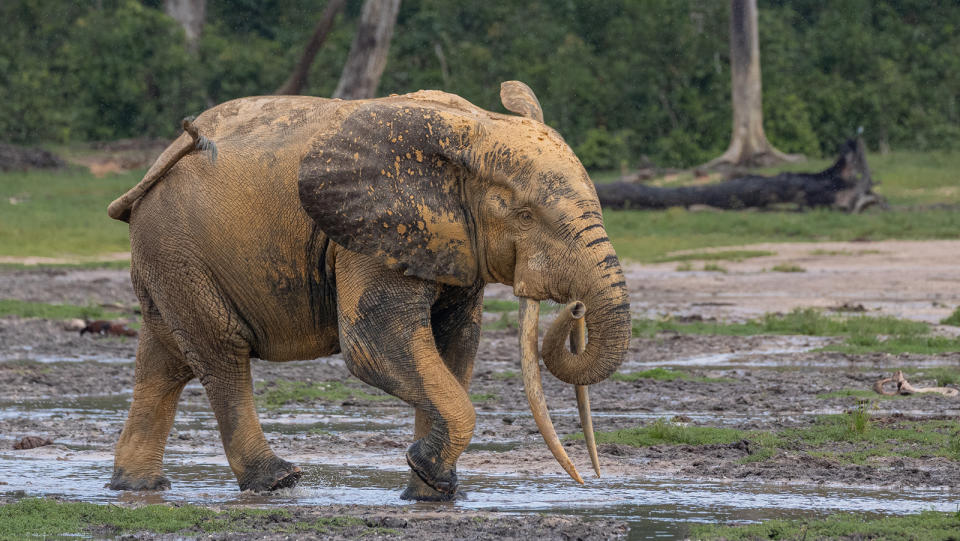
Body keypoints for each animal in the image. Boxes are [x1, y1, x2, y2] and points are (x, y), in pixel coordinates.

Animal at [107, 80, 632, 498]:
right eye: (524, 215)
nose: (575, 308)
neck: (476, 129)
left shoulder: (450, 242)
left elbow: (456, 344)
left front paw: (430, 492)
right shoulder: (369, 233)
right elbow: (375, 343)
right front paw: (428, 473)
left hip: (170, 257)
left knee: (165, 361)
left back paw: (138, 487)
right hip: (177, 246)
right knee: (222, 354)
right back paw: (278, 482)